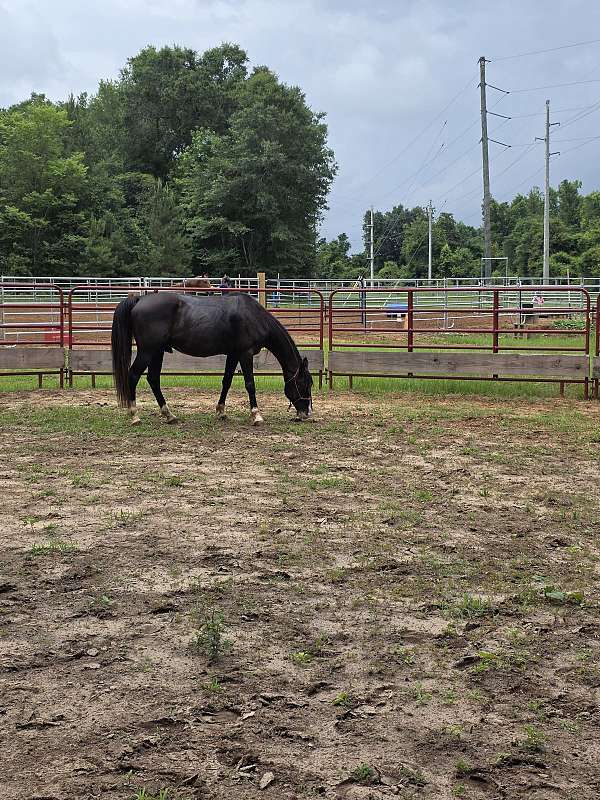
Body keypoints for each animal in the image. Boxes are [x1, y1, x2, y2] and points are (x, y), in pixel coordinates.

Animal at [111, 291, 313, 426]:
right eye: (304, 383)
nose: (306, 413)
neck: (253, 316)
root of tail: (139, 299)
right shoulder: (245, 354)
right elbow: (250, 384)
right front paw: (256, 415)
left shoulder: (233, 354)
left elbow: (227, 381)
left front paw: (221, 412)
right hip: (147, 351)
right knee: (133, 376)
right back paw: (135, 415)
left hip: (157, 352)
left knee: (153, 379)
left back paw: (169, 415)